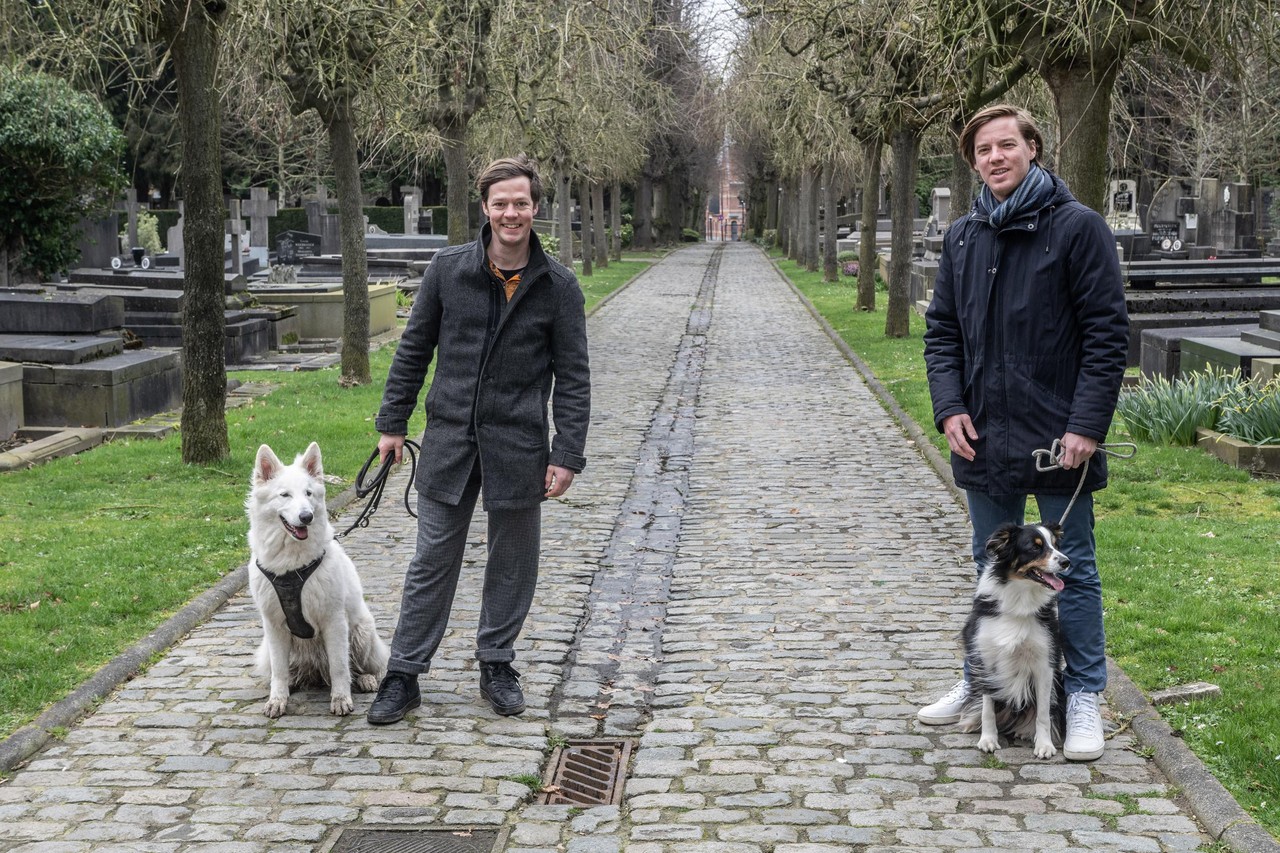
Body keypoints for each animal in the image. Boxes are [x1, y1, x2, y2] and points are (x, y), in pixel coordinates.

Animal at [245, 440, 389, 712]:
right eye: (285, 495)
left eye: (309, 493)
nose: (306, 517)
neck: (291, 563)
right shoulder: (274, 625)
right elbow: (279, 671)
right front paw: (277, 699)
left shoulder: (334, 621)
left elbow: (340, 667)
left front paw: (341, 698)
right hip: (268, 648)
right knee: (286, 670)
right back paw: (293, 683)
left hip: (361, 631)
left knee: (362, 666)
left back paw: (365, 679)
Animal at [962, 522, 1070, 753]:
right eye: (1035, 547)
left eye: (1055, 545)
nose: (1066, 561)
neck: (1020, 598)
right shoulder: (986, 661)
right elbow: (987, 708)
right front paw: (988, 739)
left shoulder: (1045, 664)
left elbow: (1043, 713)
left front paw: (1044, 745)